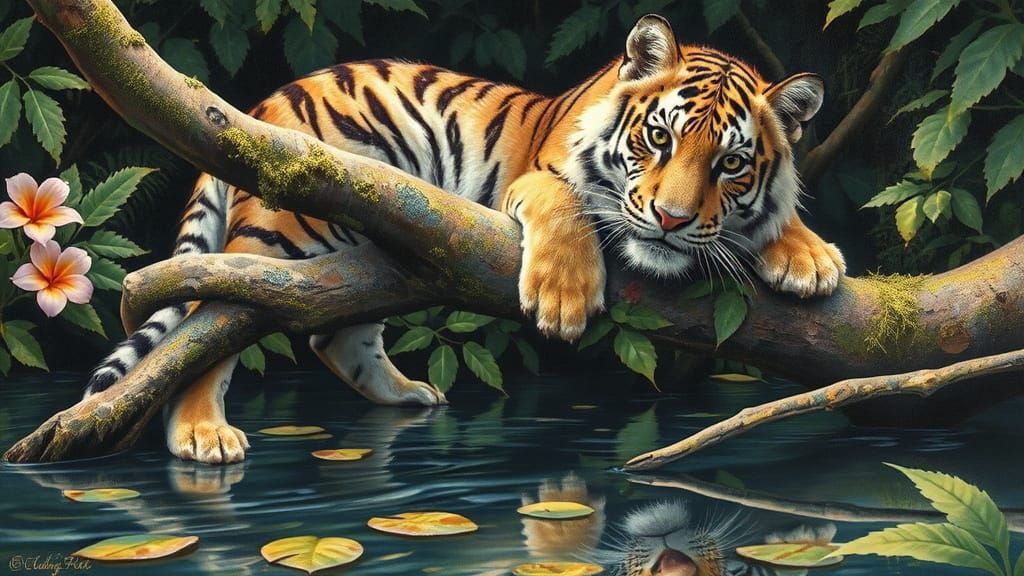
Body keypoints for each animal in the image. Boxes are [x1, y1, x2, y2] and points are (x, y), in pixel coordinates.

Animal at [83, 14, 844, 464]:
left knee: (335, 333)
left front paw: (809, 257)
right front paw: (564, 301)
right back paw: (200, 434)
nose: (672, 220)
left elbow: (775, 216)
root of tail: (262, 103)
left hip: (369, 252)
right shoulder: (539, 177)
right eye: (659, 138)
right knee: (214, 319)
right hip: (281, 231)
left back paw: (409, 397)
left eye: (731, 163)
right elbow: (568, 207)